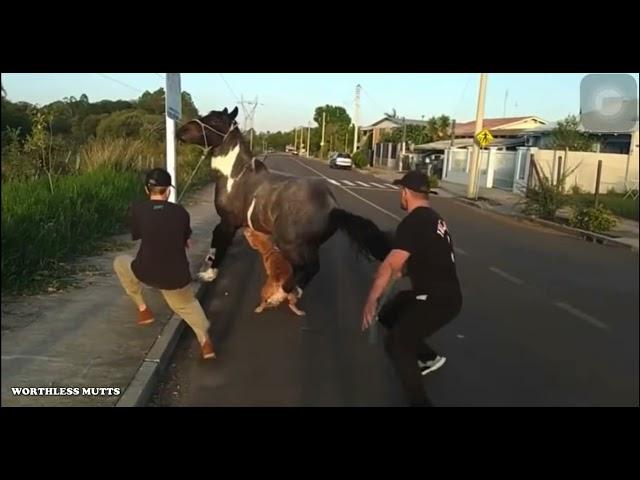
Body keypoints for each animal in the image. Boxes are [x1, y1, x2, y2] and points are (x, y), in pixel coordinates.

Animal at [178, 108, 392, 304]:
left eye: (214, 120)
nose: (181, 131)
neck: (235, 176)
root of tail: (333, 208)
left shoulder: (229, 223)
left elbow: (221, 244)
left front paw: (209, 273)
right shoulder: (229, 222)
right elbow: (215, 238)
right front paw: (208, 264)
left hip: (290, 245)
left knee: (307, 267)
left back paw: (282, 294)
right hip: (309, 246)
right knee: (308, 268)